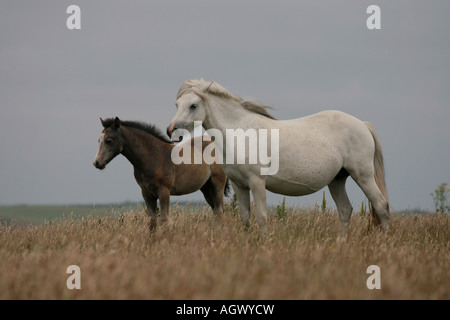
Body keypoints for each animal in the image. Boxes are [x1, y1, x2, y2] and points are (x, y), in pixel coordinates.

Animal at [167, 77, 388, 232]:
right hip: (337, 180)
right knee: (345, 210)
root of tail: (362, 125)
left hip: (363, 176)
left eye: (193, 105)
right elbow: (245, 219)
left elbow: (262, 218)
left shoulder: (257, 183)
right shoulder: (240, 185)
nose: (172, 131)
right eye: (177, 105)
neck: (240, 131)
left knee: (381, 206)